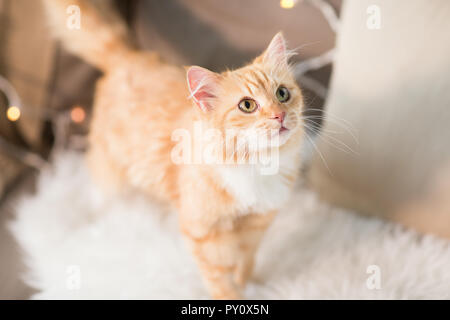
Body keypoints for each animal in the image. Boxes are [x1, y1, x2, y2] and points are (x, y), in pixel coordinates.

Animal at [44, 0, 304, 300]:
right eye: (247, 105)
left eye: (282, 94)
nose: (279, 116)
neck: (257, 164)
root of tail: (129, 55)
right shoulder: (203, 234)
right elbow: (220, 280)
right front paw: (234, 296)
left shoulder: (258, 224)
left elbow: (247, 260)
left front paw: (250, 281)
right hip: (109, 167)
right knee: (100, 191)